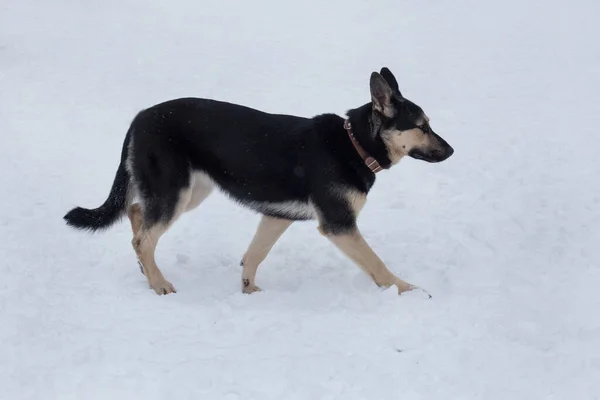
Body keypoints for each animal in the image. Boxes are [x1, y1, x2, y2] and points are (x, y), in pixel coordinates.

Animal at [63, 67, 452, 296]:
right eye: (422, 126)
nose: (451, 151)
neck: (354, 143)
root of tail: (138, 118)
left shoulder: (277, 216)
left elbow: (254, 254)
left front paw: (249, 291)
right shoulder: (339, 225)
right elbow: (376, 263)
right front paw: (406, 290)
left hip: (190, 192)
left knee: (135, 214)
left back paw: (147, 271)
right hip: (177, 192)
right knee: (142, 238)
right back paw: (159, 284)